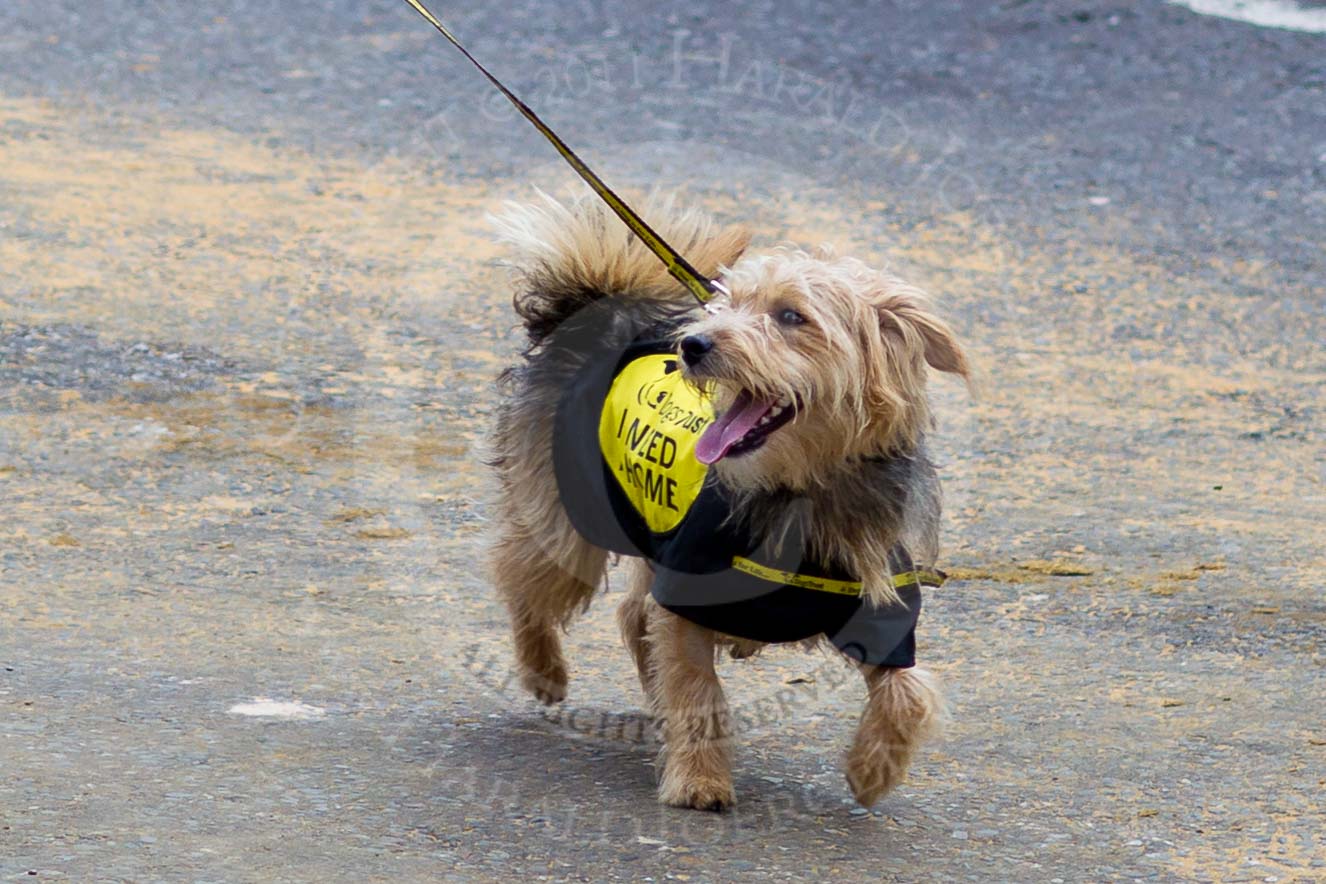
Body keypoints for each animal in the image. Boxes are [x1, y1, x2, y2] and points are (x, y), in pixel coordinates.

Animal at [482, 192, 970, 811]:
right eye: (727, 305)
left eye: (791, 317)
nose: (693, 344)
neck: (802, 489)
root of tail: (596, 305)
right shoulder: (686, 592)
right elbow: (697, 690)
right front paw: (699, 780)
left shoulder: (883, 610)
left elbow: (907, 692)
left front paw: (872, 772)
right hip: (571, 518)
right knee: (525, 576)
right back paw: (543, 669)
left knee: (631, 613)